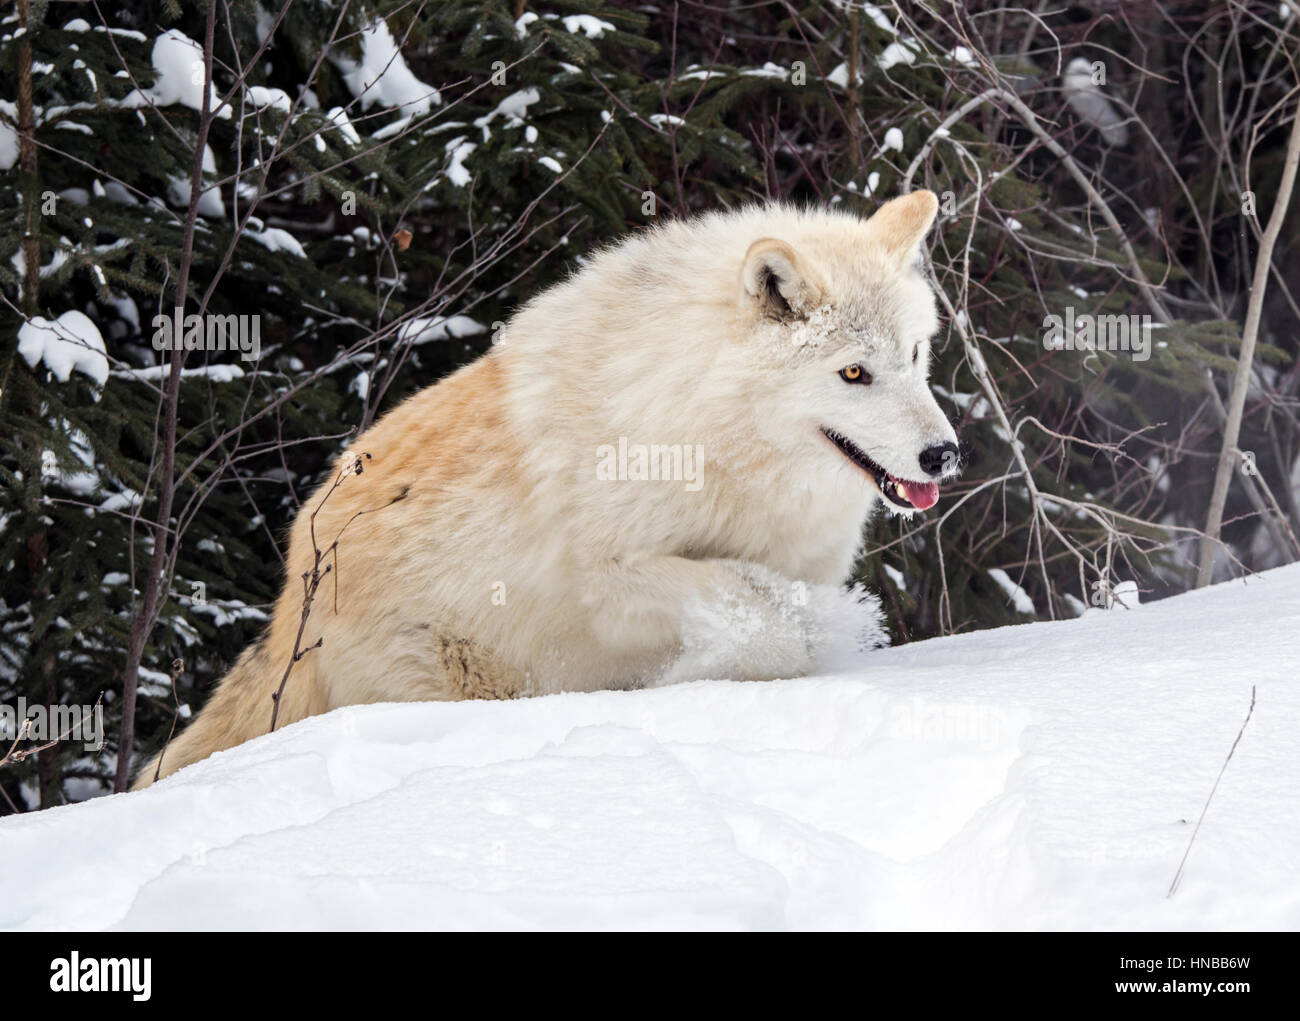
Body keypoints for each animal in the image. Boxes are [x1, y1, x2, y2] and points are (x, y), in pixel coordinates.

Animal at [133, 190, 959, 787]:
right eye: (853, 372)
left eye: (917, 356)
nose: (944, 454)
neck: (710, 428)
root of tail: (289, 595)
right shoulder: (613, 580)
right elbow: (762, 611)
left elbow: (776, 612)